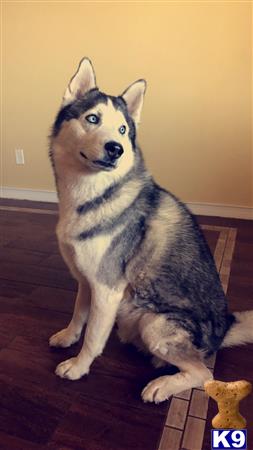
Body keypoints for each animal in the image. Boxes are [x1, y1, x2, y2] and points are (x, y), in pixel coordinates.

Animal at [48, 57, 252, 404]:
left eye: (122, 129)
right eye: (92, 119)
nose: (115, 148)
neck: (90, 195)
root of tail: (223, 329)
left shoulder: (107, 289)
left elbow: (93, 337)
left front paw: (78, 367)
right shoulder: (87, 281)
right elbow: (78, 316)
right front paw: (67, 337)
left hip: (154, 325)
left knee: (203, 373)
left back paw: (161, 385)